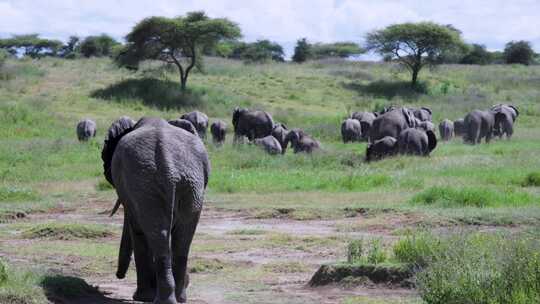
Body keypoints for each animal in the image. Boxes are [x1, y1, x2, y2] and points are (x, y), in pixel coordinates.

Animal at [102, 117, 210, 304]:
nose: (118, 275)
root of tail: (169, 167)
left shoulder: (132, 192)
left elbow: (137, 229)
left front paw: (142, 297)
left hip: (146, 186)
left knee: (155, 233)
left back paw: (155, 298)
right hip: (190, 186)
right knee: (181, 238)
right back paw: (179, 298)